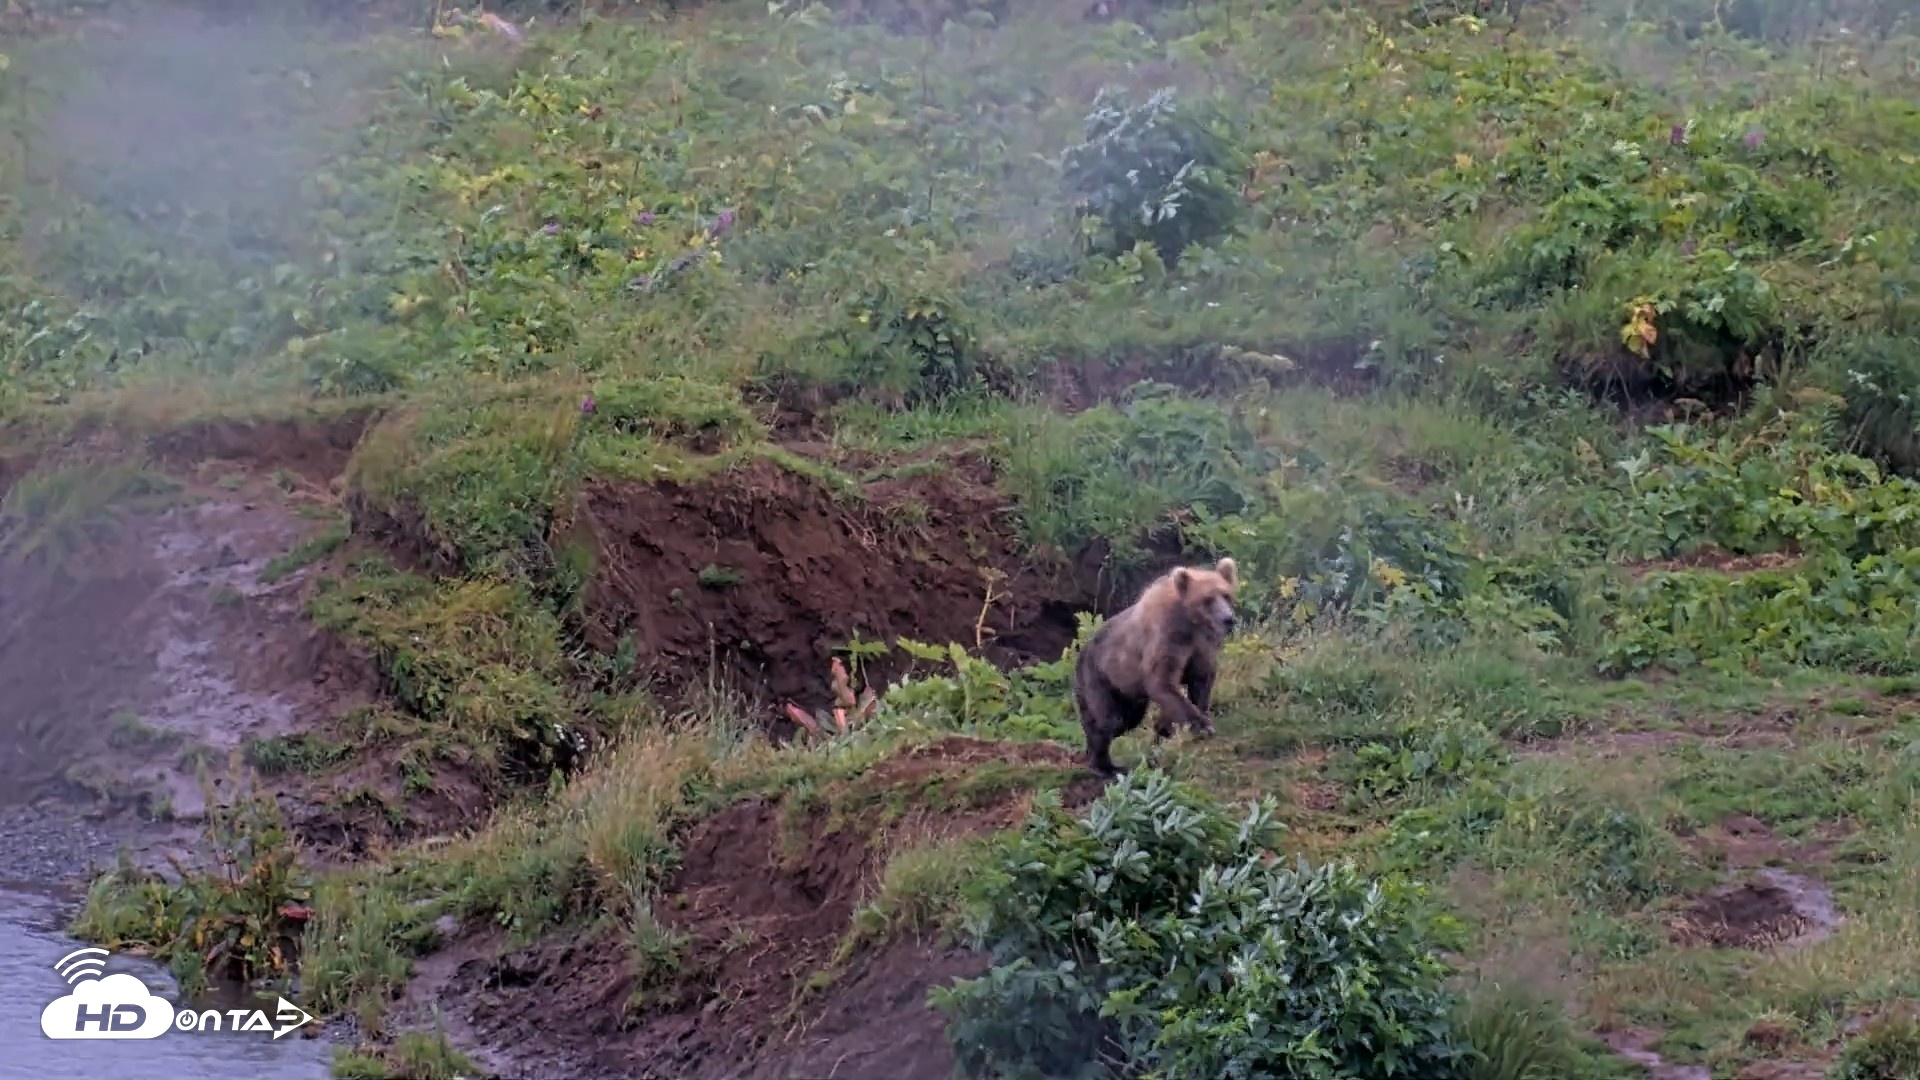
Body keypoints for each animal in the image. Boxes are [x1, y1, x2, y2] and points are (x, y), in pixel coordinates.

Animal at [1072, 556, 1238, 779]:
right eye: (1208, 599)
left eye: (1226, 595)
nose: (1228, 619)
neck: (1191, 622)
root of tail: (1080, 653)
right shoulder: (1167, 638)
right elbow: (1162, 681)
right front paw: (1202, 727)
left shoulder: (1203, 645)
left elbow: (1200, 681)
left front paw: (1168, 726)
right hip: (1100, 676)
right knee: (1109, 720)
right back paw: (1105, 764)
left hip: (1128, 692)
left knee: (1128, 718)